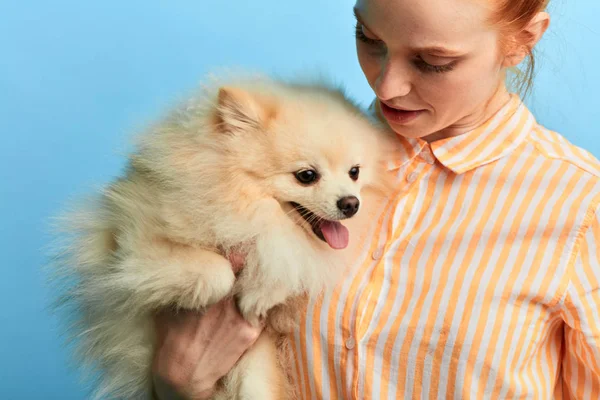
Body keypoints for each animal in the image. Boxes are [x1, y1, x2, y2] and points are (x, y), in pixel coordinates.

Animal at [52, 74, 398, 396]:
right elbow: (218, 270)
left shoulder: (285, 252)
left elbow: (285, 263)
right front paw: (212, 293)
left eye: (354, 172)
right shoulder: (132, 245)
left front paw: (261, 294)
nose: (351, 204)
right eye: (307, 176)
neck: (240, 199)